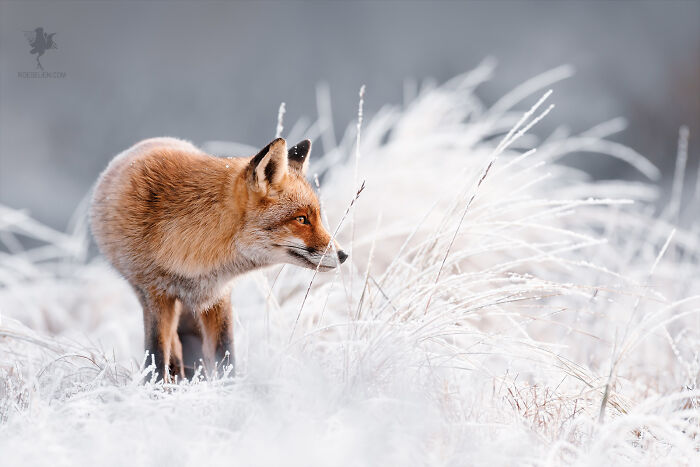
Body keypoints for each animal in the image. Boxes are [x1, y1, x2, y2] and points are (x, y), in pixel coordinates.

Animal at [90, 136, 347, 381]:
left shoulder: (218, 295)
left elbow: (226, 354)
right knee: (173, 345)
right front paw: (156, 388)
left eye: (316, 217)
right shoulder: (155, 295)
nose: (343, 255)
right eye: (302, 219)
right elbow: (157, 355)